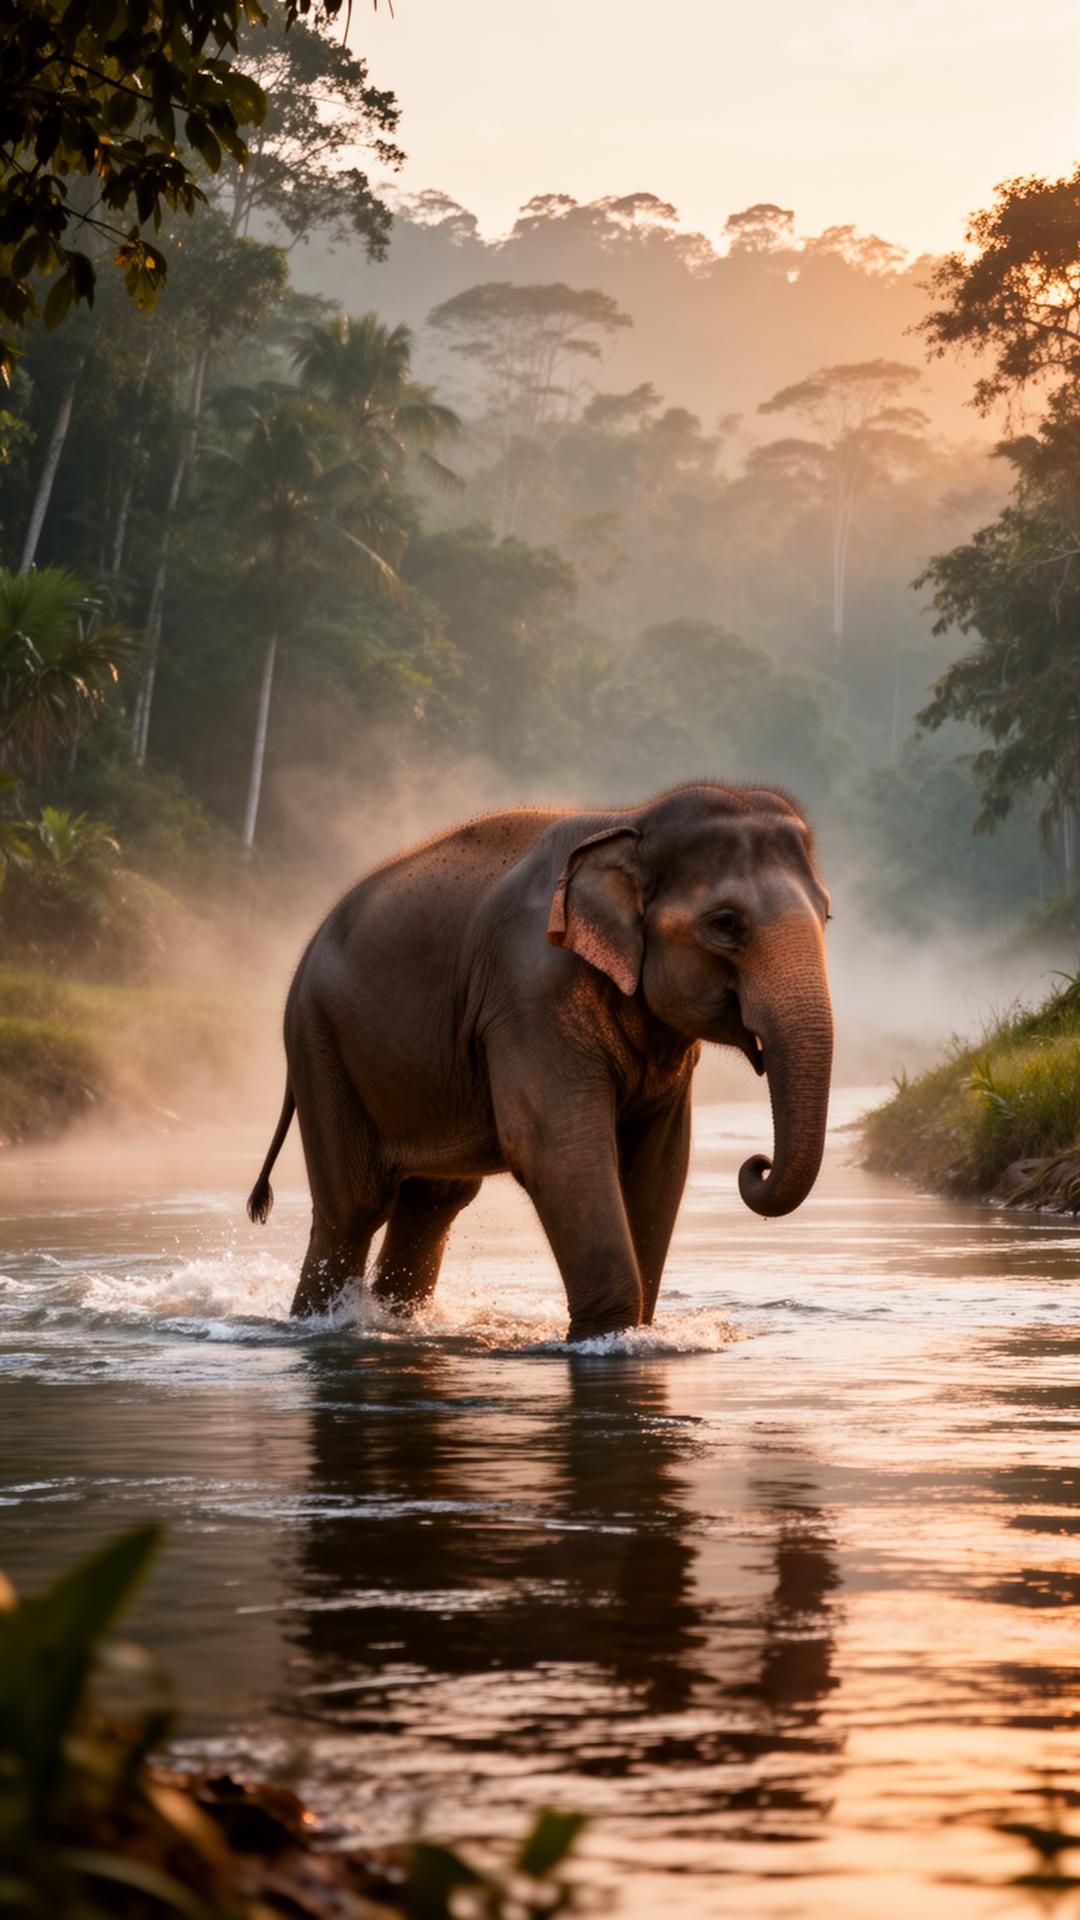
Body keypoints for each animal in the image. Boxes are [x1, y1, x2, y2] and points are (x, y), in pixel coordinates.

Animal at [247, 782, 833, 1340]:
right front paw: (606, 1338)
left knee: (433, 1200)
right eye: (725, 924)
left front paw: (639, 1333)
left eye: (827, 914)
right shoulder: (529, 992)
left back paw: (395, 1323)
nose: (756, 1164)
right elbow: (554, 1146)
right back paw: (322, 1325)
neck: (632, 821)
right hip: (319, 1047)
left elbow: (661, 1161)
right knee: (353, 1208)